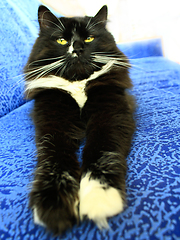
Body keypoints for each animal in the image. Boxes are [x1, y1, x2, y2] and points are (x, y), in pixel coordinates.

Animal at [24, 4, 136, 235]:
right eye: (61, 40)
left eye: (89, 38)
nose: (77, 49)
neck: (78, 82)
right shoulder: (52, 120)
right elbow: (54, 159)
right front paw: (54, 205)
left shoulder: (110, 113)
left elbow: (102, 151)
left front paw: (100, 196)